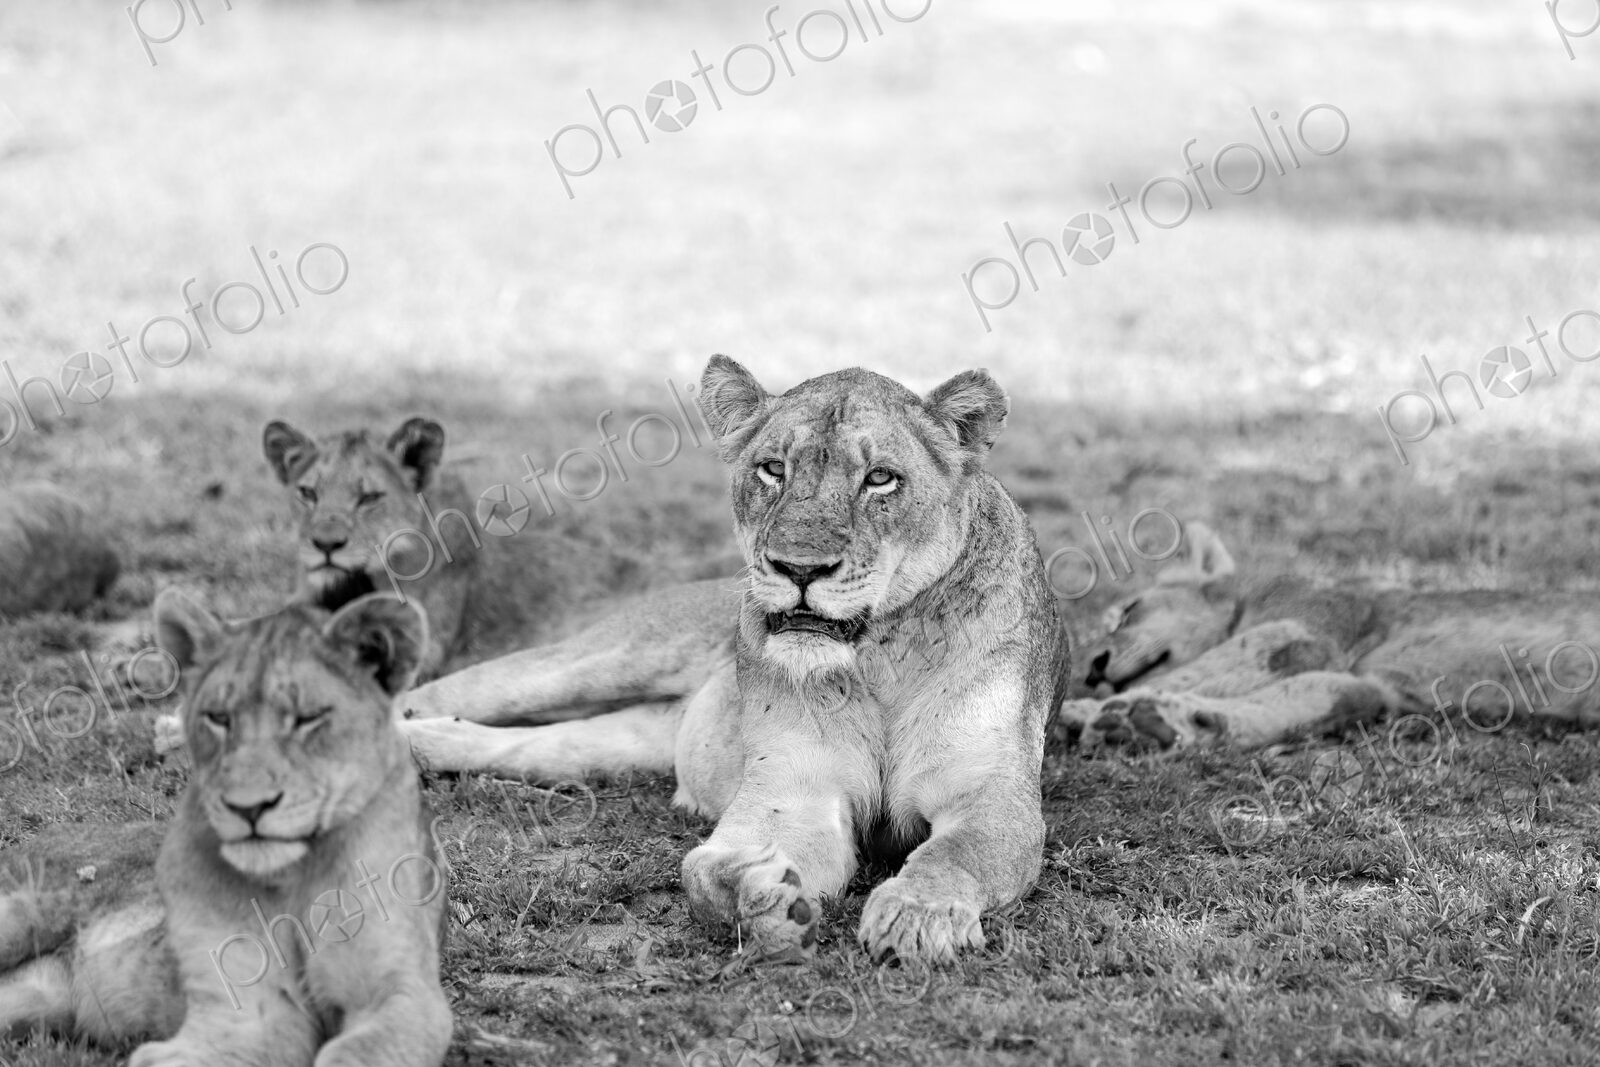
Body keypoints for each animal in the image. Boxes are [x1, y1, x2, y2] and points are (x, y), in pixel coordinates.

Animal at [0, 591, 452, 1067]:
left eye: (307, 718)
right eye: (218, 718)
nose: (248, 807)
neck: (291, 878)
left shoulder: (404, 997)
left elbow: (355, 1053)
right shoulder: (246, 1014)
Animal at [398, 356, 1071, 965]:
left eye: (880, 479)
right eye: (773, 469)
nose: (799, 568)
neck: (879, 656)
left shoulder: (990, 796)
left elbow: (951, 856)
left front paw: (916, 915)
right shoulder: (795, 788)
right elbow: (703, 871)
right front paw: (759, 895)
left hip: (614, 744)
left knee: (517, 745)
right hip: (597, 661)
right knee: (434, 695)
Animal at [1063, 522, 1600, 751]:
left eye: (1128, 611)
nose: (1091, 669)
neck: (1250, 602)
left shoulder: (1309, 631)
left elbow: (1200, 673)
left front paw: (1088, 712)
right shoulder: (1370, 689)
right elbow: (1294, 702)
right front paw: (1164, 724)